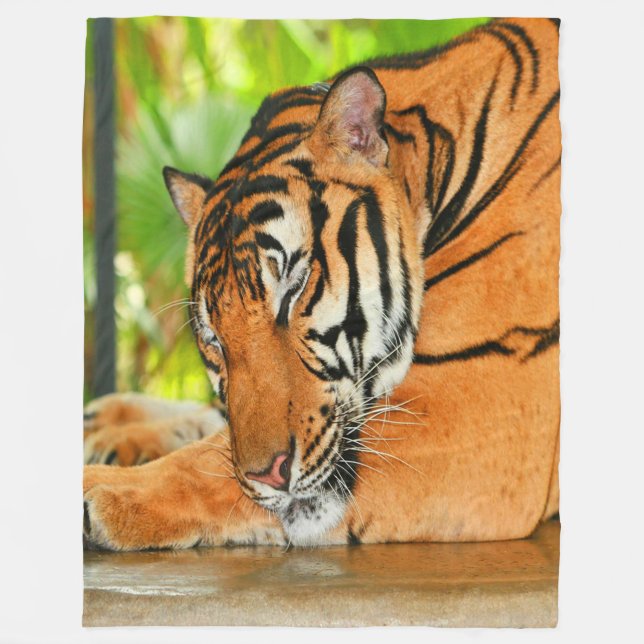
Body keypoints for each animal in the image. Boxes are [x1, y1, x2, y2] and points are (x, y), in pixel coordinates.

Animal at [83, 17, 561, 550]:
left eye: (293, 289)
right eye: (214, 340)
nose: (269, 474)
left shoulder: (477, 410)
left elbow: (205, 462)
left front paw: (101, 485)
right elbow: (215, 428)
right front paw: (111, 430)